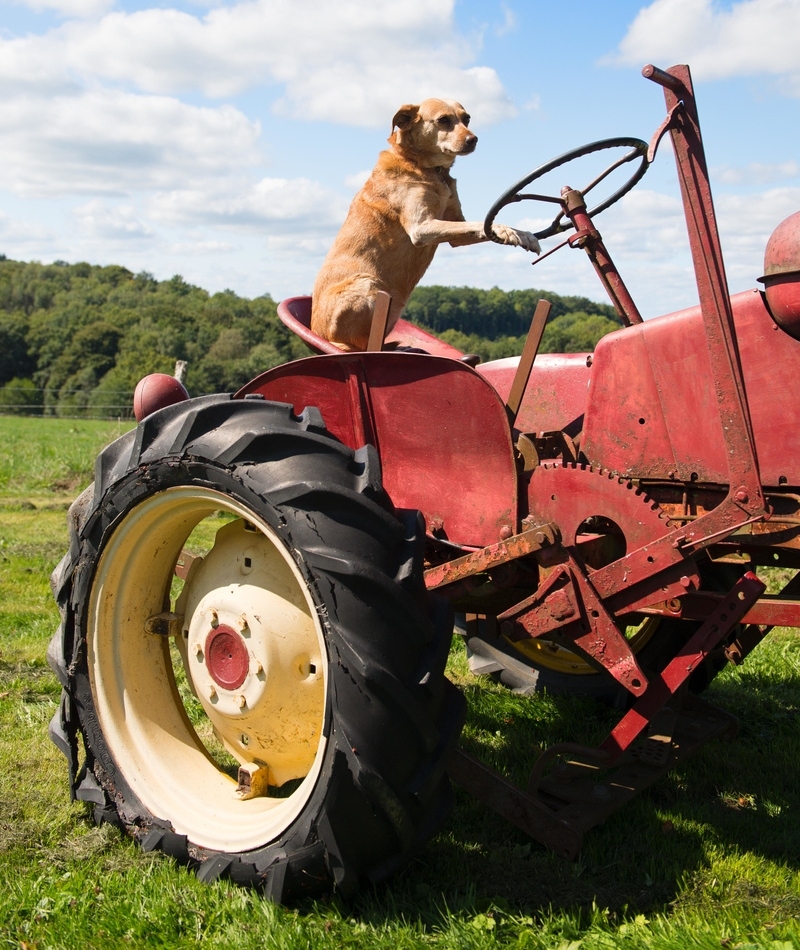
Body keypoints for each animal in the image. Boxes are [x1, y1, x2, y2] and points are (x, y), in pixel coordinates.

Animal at [310, 97, 540, 354]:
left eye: (467, 118)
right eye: (443, 120)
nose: (473, 139)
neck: (426, 168)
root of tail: (319, 333)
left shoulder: (456, 229)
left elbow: (479, 225)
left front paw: (522, 233)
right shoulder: (421, 227)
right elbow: (481, 222)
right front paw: (507, 230)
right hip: (369, 285)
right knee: (363, 347)